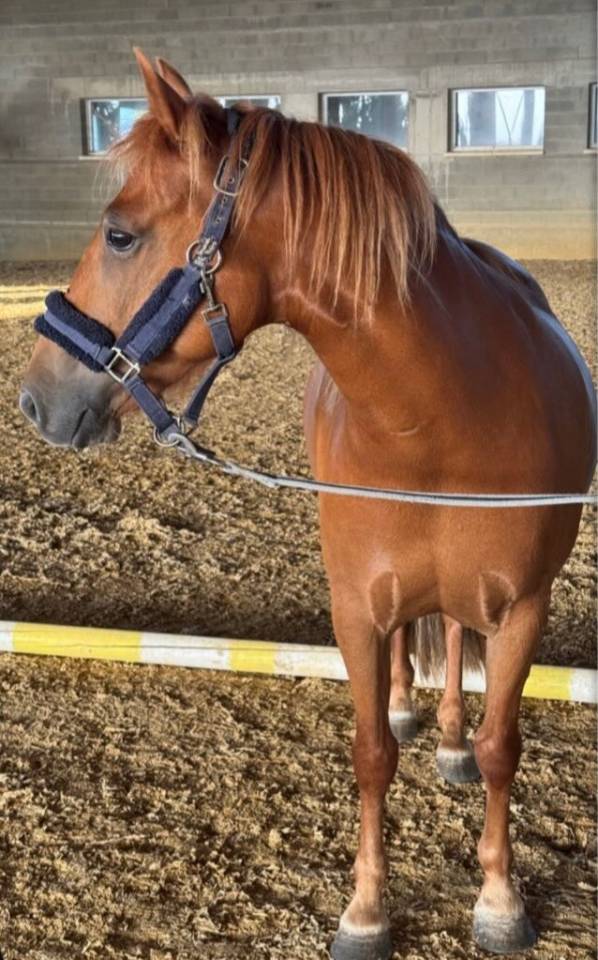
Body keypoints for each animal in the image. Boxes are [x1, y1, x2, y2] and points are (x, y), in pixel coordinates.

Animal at [20, 49, 596, 959]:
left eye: (118, 234)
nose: (37, 400)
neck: (442, 421)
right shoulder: (355, 608)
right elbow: (369, 753)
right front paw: (366, 909)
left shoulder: (523, 610)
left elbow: (504, 747)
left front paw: (501, 900)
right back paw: (409, 710)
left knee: (454, 644)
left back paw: (449, 742)